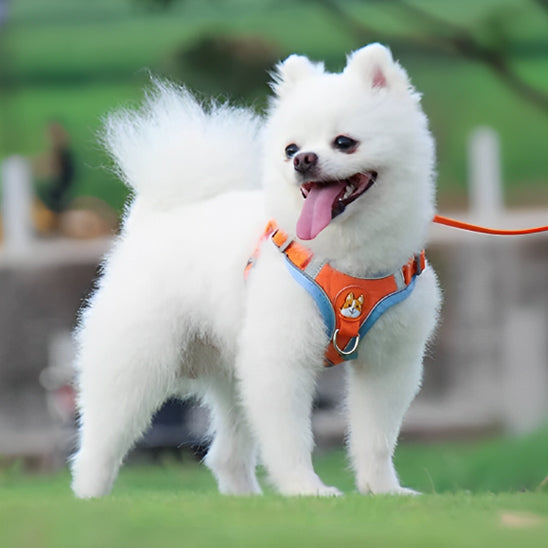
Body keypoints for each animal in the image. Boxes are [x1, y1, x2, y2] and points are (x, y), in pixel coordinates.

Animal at [71, 44, 440, 496]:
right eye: (290, 148)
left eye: (344, 142)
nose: (304, 160)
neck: (348, 259)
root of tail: (154, 218)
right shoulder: (281, 356)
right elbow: (291, 437)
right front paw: (306, 489)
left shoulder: (389, 362)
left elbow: (376, 437)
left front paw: (383, 490)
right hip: (137, 363)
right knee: (100, 442)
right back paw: (90, 495)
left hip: (232, 372)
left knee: (224, 454)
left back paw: (245, 498)